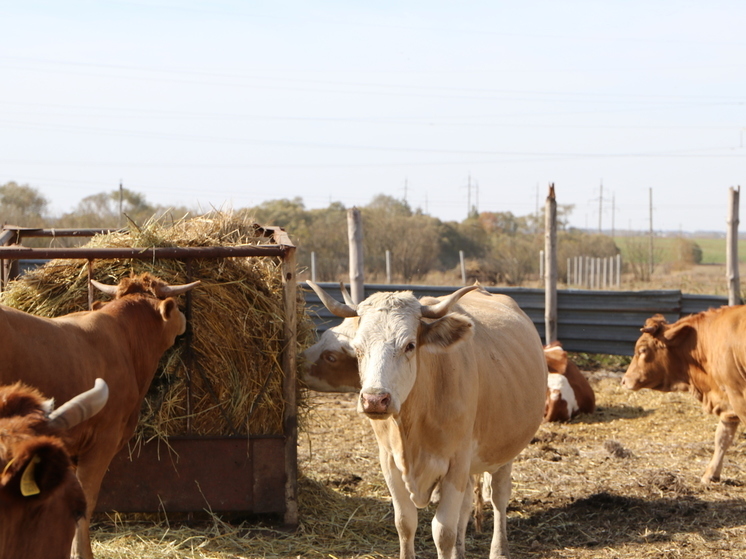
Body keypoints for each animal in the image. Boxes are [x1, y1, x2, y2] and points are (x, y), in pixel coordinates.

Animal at [308, 282, 548, 559]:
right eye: (357, 349)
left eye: (410, 345)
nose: (374, 400)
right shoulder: (389, 461)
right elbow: (405, 523)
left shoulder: (456, 462)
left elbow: (442, 532)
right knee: (467, 503)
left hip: (504, 449)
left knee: (499, 497)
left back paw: (499, 550)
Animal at [620, 308, 744, 484]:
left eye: (642, 350)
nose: (624, 380)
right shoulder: (728, 400)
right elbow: (722, 437)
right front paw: (711, 474)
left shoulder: (738, 395)